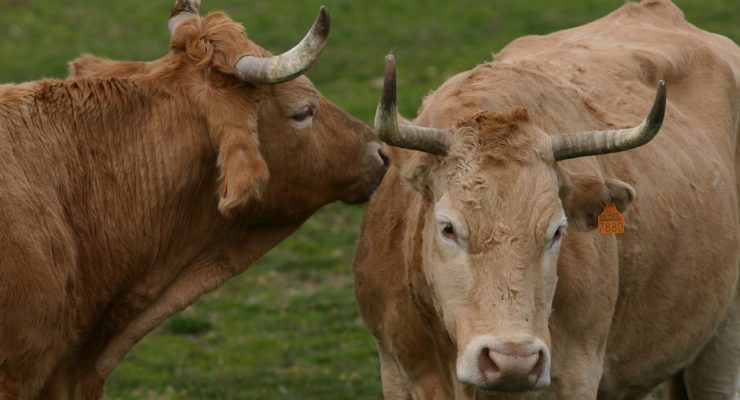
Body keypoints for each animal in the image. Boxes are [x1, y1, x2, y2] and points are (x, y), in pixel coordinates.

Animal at [354, 1, 740, 398]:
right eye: (447, 228)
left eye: (557, 231)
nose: (513, 361)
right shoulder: (396, 372)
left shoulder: (576, 376)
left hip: (724, 339)